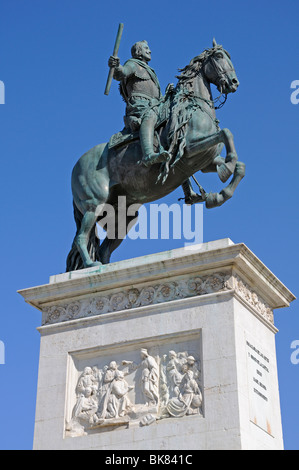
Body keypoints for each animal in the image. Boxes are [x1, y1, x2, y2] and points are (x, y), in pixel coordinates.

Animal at [67, 40, 246, 272]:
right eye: (218, 57)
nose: (234, 82)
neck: (193, 107)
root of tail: (76, 166)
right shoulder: (189, 150)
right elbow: (226, 133)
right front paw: (226, 172)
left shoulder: (204, 161)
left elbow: (237, 164)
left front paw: (220, 193)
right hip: (94, 204)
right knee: (82, 237)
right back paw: (90, 264)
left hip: (124, 215)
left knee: (104, 248)